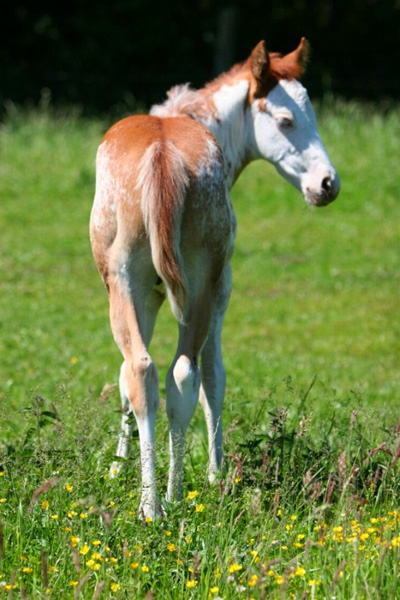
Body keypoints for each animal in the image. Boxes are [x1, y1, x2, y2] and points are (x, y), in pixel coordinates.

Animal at [90, 38, 340, 516]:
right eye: (285, 120)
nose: (327, 184)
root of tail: (162, 155)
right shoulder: (221, 292)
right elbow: (215, 378)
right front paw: (215, 472)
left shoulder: (148, 296)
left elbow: (127, 378)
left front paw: (115, 467)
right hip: (203, 291)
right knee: (184, 374)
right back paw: (170, 495)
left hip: (129, 285)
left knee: (146, 371)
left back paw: (152, 503)